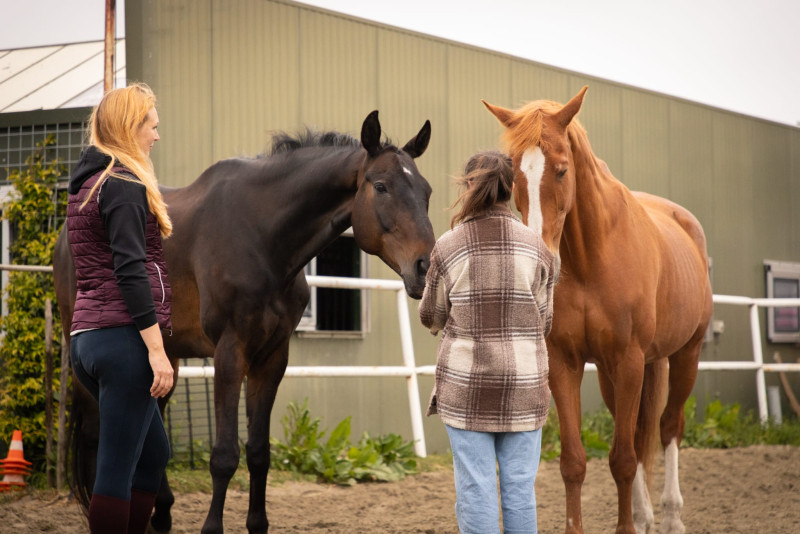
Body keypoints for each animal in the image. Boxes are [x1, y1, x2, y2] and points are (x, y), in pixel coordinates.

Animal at [53, 110, 435, 534]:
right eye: (381, 186)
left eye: (426, 191)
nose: (425, 266)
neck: (262, 237)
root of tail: (64, 236)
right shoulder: (229, 354)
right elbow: (224, 455)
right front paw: (212, 527)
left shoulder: (271, 359)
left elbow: (257, 452)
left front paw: (257, 523)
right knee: (99, 434)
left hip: (163, 356)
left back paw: (162, 512)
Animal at [482, 87, 712, 534]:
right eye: (514, 174)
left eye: (561, 170)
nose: (540, 264)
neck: (592, 258)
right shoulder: (566, 363)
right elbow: (575, 461)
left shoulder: (628, 359)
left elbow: (622, 459)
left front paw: (628, 526)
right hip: (617, 373)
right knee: (640, 434)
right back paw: (644, 515)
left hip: (684, 355)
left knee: (668, 428)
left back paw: (671, 515)